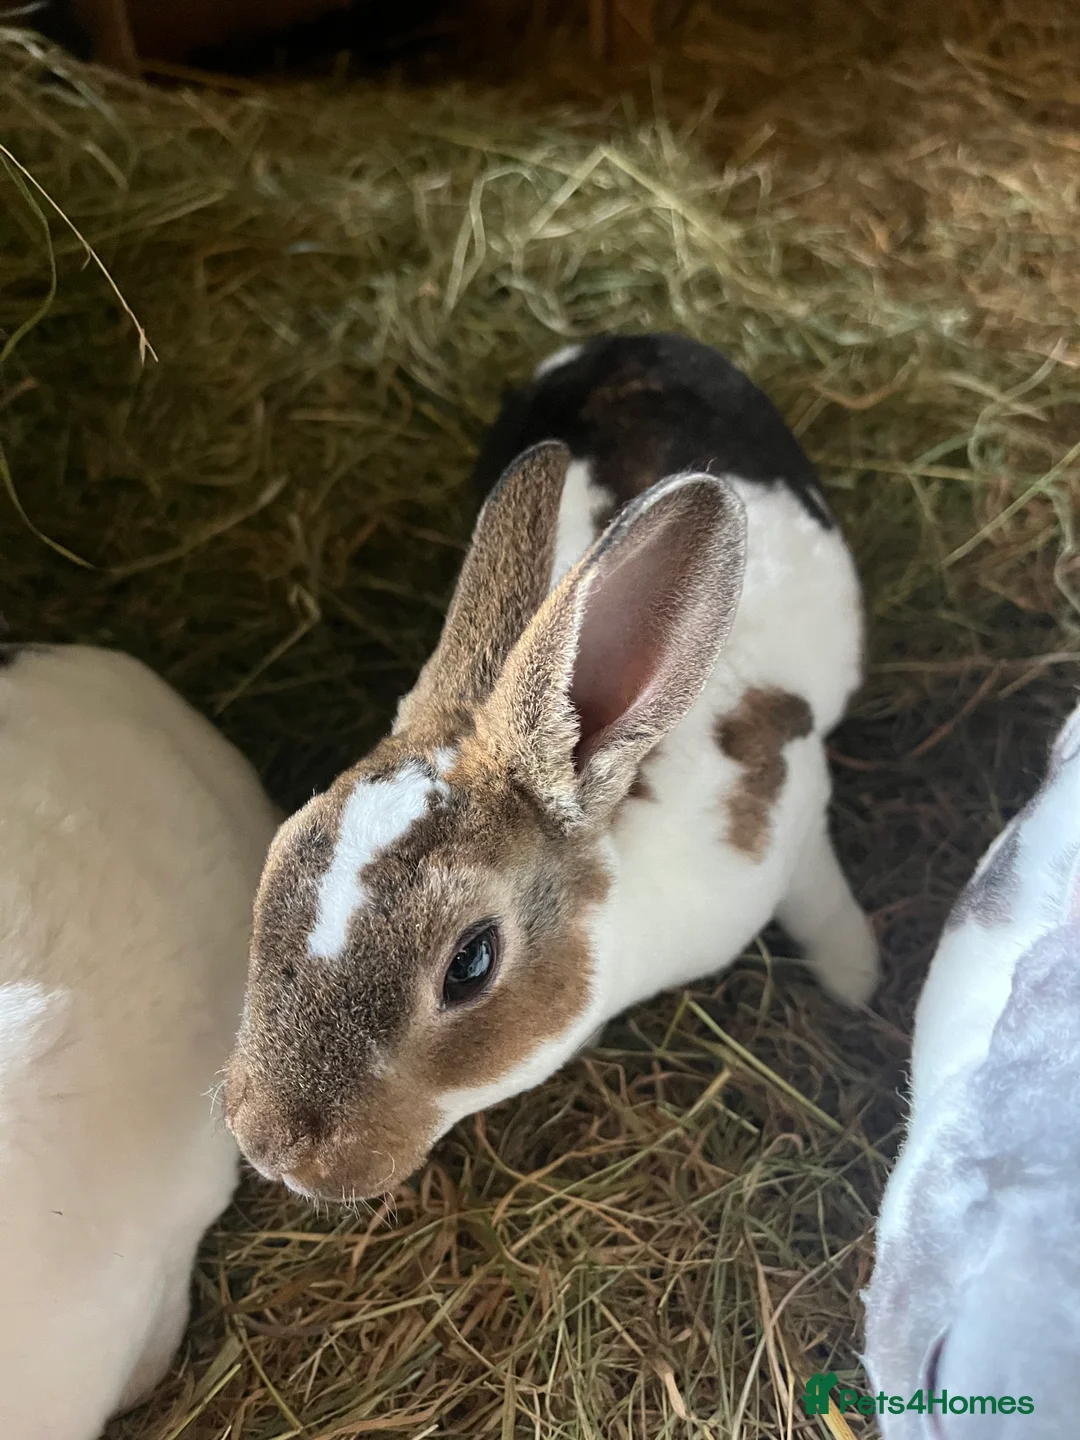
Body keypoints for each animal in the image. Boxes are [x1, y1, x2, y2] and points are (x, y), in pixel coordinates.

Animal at [224, 331, 879, 1204]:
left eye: (470, 963)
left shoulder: (798, 812)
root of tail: (626, 342)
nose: (266, 1144)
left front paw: (859, 983)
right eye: (283, 850)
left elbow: (825, 901)